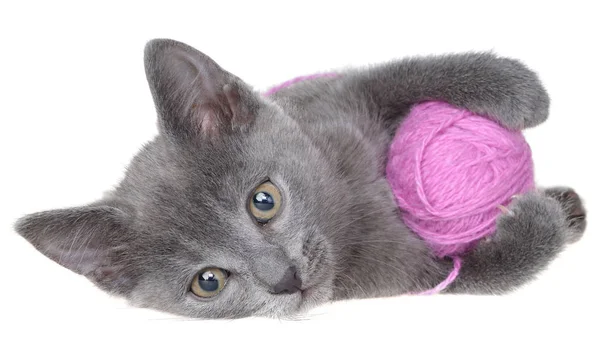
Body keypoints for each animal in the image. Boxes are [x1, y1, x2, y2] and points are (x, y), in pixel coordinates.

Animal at [12, 39, 584, 318]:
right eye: (208, 282)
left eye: (263, 201)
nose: (283, 279)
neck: (350, 206)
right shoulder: (410, 278)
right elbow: (493, 272)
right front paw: (541, 220)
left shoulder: (331, 98)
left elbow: (395, 75)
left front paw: (517, 90)